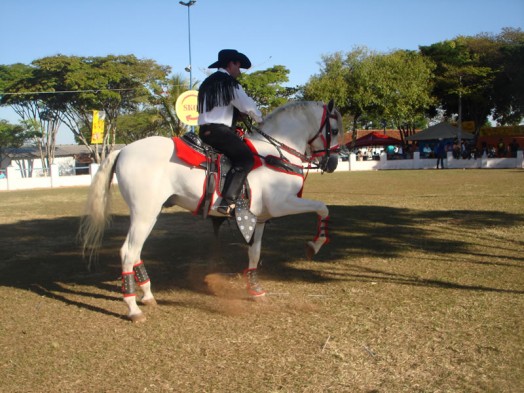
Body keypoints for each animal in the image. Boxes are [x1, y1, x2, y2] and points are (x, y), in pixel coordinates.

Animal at [80, 99, 344, 320]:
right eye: (335, 130)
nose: (333, 163)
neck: (275, 154)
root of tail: (123, 150)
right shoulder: (282, 204)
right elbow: (322, 208)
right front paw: (314, 245)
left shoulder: (258, 218)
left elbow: (254, 254)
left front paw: (255, 290)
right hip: (145, 213)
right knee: (128, 252)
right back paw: (133, 308)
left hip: (148, 214)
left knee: (136, 252)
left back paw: (147, 295)